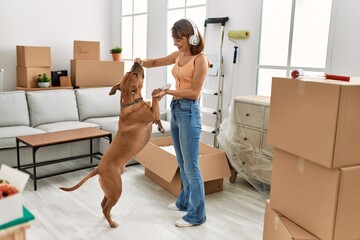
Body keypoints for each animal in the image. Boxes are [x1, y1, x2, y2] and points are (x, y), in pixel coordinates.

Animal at [60, 62, 165, 227]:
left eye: (130, 72)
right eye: (134, 74)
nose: (136, 62)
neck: (131, 102)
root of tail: (99, 168)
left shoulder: (153, 114)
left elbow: (157, 115)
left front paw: (161, 127)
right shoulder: (153, 112)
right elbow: (155, 102)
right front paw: (157, 91)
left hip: (110, 191)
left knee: (103, 205)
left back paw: (108, 217)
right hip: (116, 190)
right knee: (106, 207)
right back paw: (111, 223)